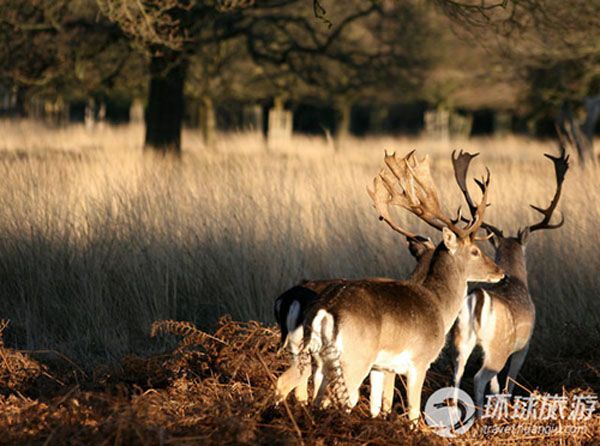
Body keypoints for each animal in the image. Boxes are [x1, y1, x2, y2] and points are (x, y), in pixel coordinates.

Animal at [298, 149, 504, 422]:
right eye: (475, 251)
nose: (499, 271)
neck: (439, 306)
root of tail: (326, 310)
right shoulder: (419, 361)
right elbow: (414, 411)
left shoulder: (381, 367)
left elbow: (378, 405)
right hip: (354, 358)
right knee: (338, 399)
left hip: (319, 359)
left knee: (316, 397)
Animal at [452, 146, 568, 414]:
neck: (516, 280)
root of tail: (479, 299)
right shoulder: (524, 345)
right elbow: (508, 383)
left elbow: (496, 386)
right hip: (499, 347)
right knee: (478, 377)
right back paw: (480, 416)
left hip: (462, 339)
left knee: (458, 372)